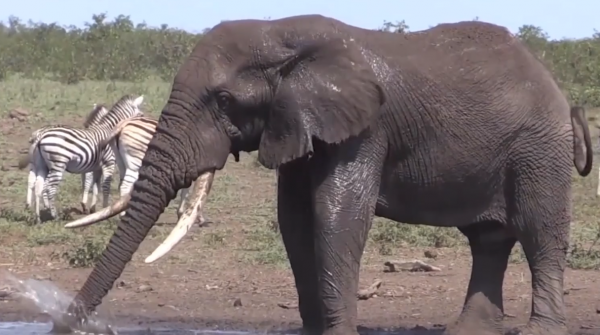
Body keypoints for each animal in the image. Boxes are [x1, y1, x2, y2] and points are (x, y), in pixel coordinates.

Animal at [22, 94, 144, 224]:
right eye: (141, 115)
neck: (110, 129)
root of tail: (40, 136)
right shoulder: (108, 162)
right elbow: (105, 187)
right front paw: (105, 210)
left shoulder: (97, 167)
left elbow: (96, 187)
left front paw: (93, 210)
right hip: (57, 165)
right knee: (49, 188)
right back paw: (54, 216)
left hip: (41, 165)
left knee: (38, 185)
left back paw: (37, 217)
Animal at [52, 14, 596, 335]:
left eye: (224, 100)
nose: (62, 327)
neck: (279, 32)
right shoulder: (296, 123)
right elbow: (295, 219)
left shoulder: (365, 127)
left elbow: (337, 214)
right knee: (489, 239)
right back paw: (469, 331)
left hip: (538, 148)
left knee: (540, 233)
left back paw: (541, 330)